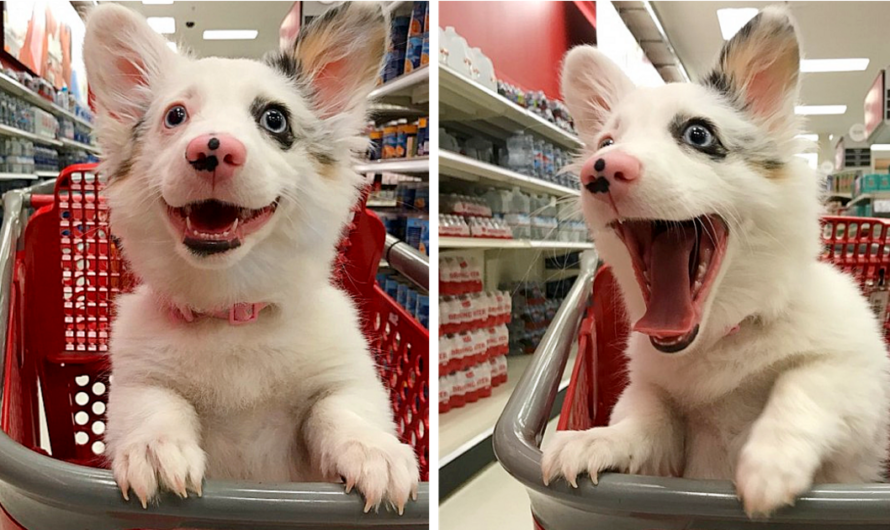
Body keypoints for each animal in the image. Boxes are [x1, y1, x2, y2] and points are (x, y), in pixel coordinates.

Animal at [83, 0, 416, 512]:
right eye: (175, 116)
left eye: (275, 120)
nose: (211, 148)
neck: (230, 311)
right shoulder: (136, 384)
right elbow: (156, 405)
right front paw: (155, 446)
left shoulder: (348, 378)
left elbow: (340, 409)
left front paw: (373, 450)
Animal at [540, 5, 888, 516]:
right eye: (604, 143)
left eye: (698, 134)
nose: (599, 170)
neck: (720, 336)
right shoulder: (654, 404)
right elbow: (643, 418)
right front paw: (597, 440)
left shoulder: (861, 387)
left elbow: (803, 383)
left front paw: (769, 463)